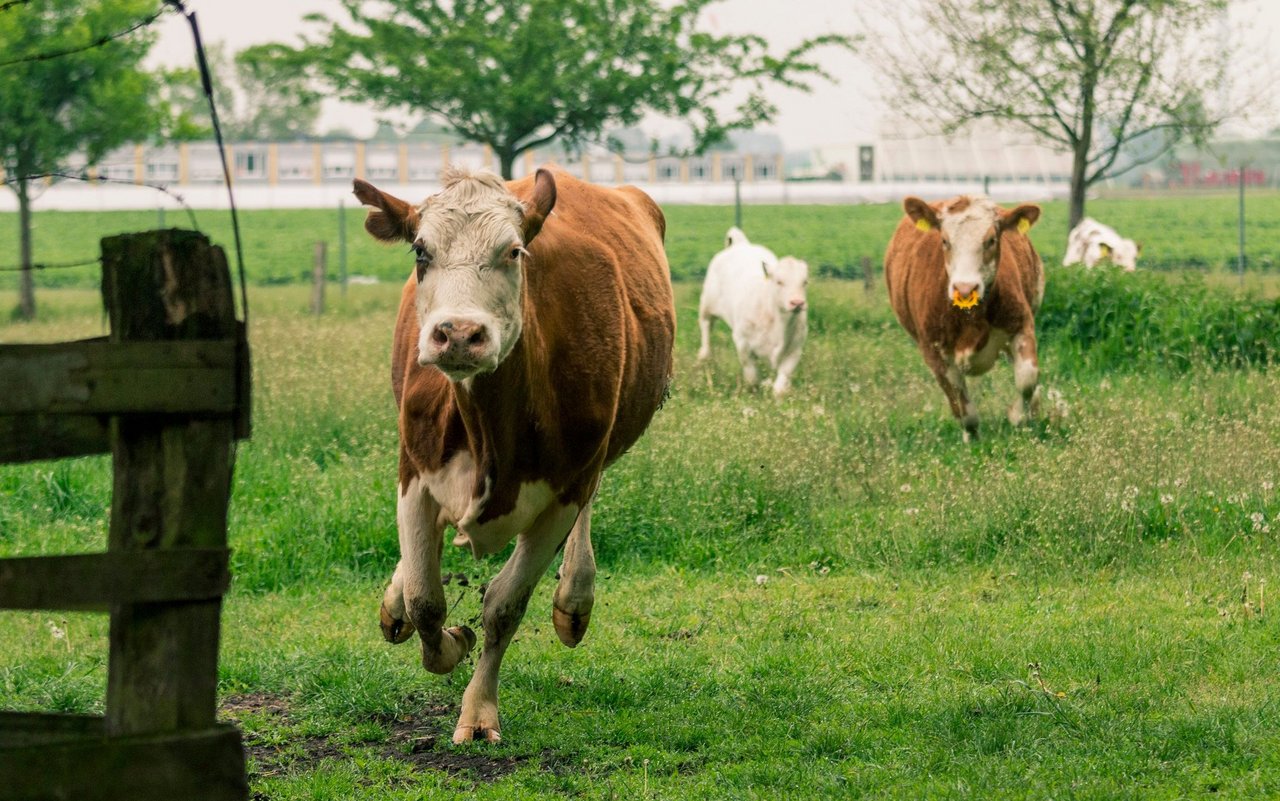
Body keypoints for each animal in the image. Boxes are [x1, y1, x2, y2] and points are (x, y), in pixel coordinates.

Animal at [352, 167, 675, 743]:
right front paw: (447, 635)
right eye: (420, 251)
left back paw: (574, 600)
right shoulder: (414, 474)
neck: (488, 432)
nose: (459, 334)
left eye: (514, 251)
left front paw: (479, 711)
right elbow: (425, 600)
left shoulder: (565, 490)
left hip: (596, 456)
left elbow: (504, 606)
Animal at [696, 227, 809, 396]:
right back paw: (704, 355)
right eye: (779, 281)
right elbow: (752, 377)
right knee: (706, 325)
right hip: (707, 304)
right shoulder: (743, 343)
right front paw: (760, 386)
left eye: (804, 282)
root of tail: (741, 244)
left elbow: (780, 385)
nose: (797, 303)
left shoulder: (794, 350)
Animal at [884, 195, 1044, 442]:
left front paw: (1018, 416)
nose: (965, 288)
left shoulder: (1021, 325)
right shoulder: (934, 351)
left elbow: (1027, 378)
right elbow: (961, 404)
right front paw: (973, 438)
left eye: (991, 240)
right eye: (944, 240)